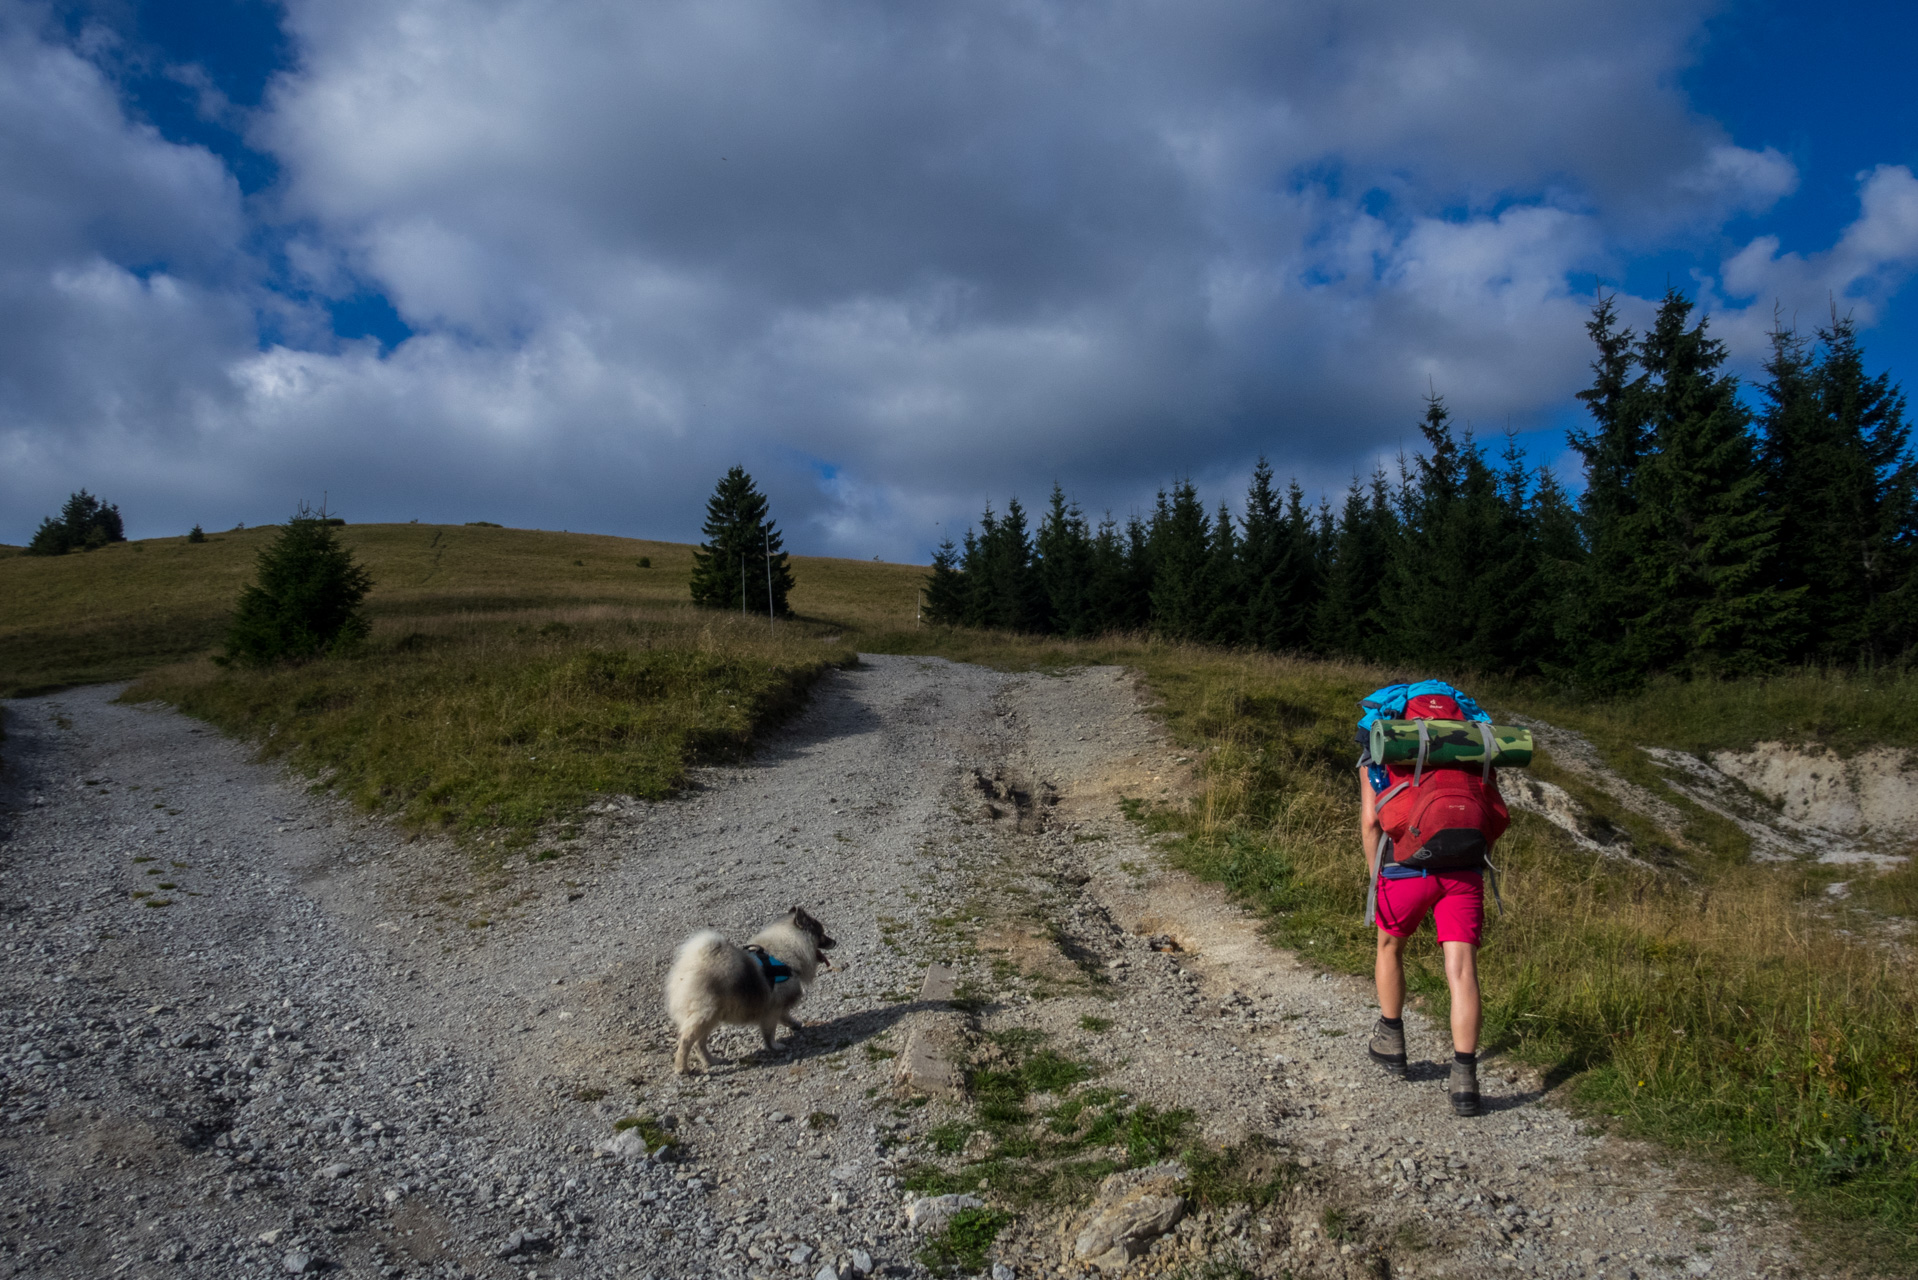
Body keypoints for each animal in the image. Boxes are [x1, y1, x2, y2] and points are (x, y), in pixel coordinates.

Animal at [663, 905, 836, 1074]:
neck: (788, 951)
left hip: (712, 1016)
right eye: (821, 934)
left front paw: (794, 1024)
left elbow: (785, 1016)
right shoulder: (772, 1010)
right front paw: (774, 1046)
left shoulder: (778, 1006)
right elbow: (770, 1032)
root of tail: (689, 966)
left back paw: (711, 1061)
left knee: (699, 1043)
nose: (835, 941)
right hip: (705, 1014)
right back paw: (682, 1068)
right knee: (687, 1040)